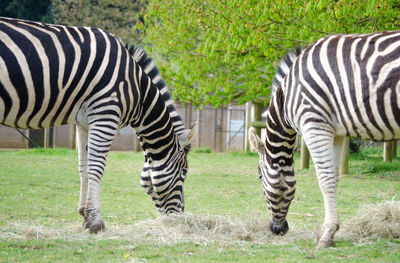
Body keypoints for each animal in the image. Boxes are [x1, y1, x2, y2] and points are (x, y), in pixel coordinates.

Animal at [0, 16, 195, 234]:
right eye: (184, 171)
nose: (181, 216)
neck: (138, 90)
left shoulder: (84, 122)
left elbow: (83, 168)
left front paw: (84, 216)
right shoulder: (105, 114)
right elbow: (96, 168)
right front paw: (96, 221)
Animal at [248, 31, 400, 250]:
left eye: (260, 176)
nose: (278, 230)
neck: (285, 100)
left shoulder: (314, 125)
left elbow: (325, 179)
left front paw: (327, 234)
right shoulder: (335, 132)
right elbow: (334, 178)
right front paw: (331, 231)